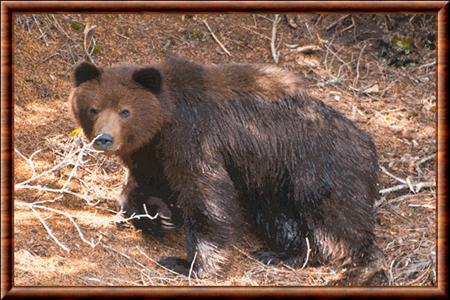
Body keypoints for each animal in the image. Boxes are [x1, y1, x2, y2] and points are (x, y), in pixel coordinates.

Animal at [70, 56, 386, 284]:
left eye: (125, 111)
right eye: (93, 109)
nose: (104, 139)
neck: (164, 121)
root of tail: (366, 140)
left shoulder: (193, 138)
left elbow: (207, 196)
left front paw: (189, 264)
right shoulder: (150, 153)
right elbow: (142, 187)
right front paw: (159, 217)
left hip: (319, 168)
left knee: (336, 220)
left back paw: (354, 265)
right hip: (273, 179)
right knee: (279, 216)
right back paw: (281, 254)